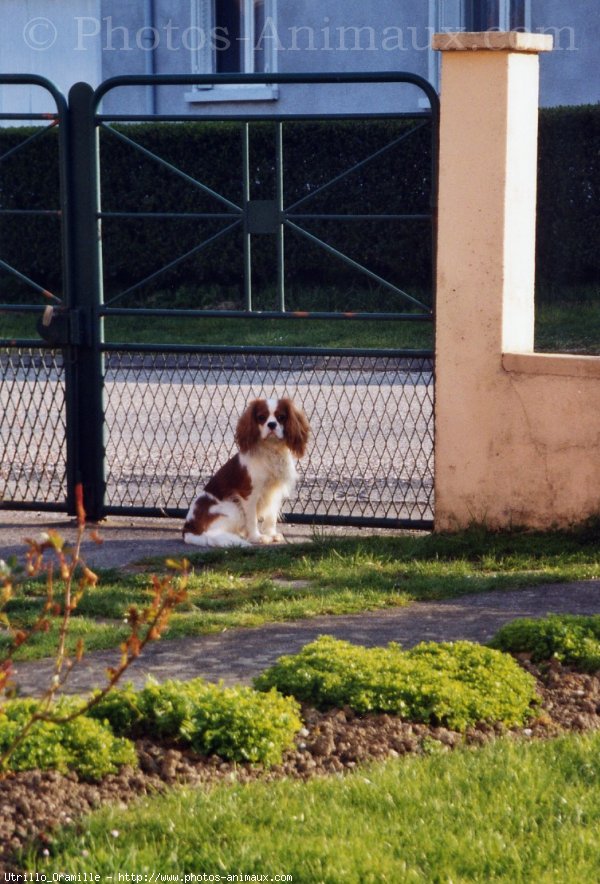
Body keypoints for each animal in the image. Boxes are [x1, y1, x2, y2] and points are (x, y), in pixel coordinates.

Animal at [183, 398, 310, 544]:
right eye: (261, 417)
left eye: (281, 417)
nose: (271, 424)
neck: (271, 450)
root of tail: (189, 529)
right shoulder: (249, 494)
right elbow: (252, 519)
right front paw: (257, 537)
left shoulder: (275, 492)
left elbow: (271, 516)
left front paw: (271, 534)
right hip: (232, 507)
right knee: (212, 534)